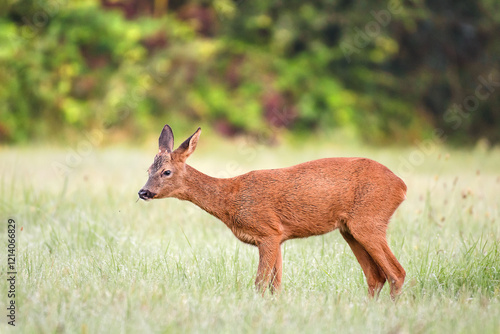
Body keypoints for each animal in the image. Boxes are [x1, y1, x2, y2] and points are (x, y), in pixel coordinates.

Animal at [137, 124, 406, 298]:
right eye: (148, 169)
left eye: (166, 172)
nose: (143, 192)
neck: (230, 200)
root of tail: (401, 186)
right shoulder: (278, 237)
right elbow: (275, 287)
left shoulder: (267, 232)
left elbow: (259, 283)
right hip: (349, 229)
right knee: (375, 277)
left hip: (368, 220)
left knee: (397, 273)